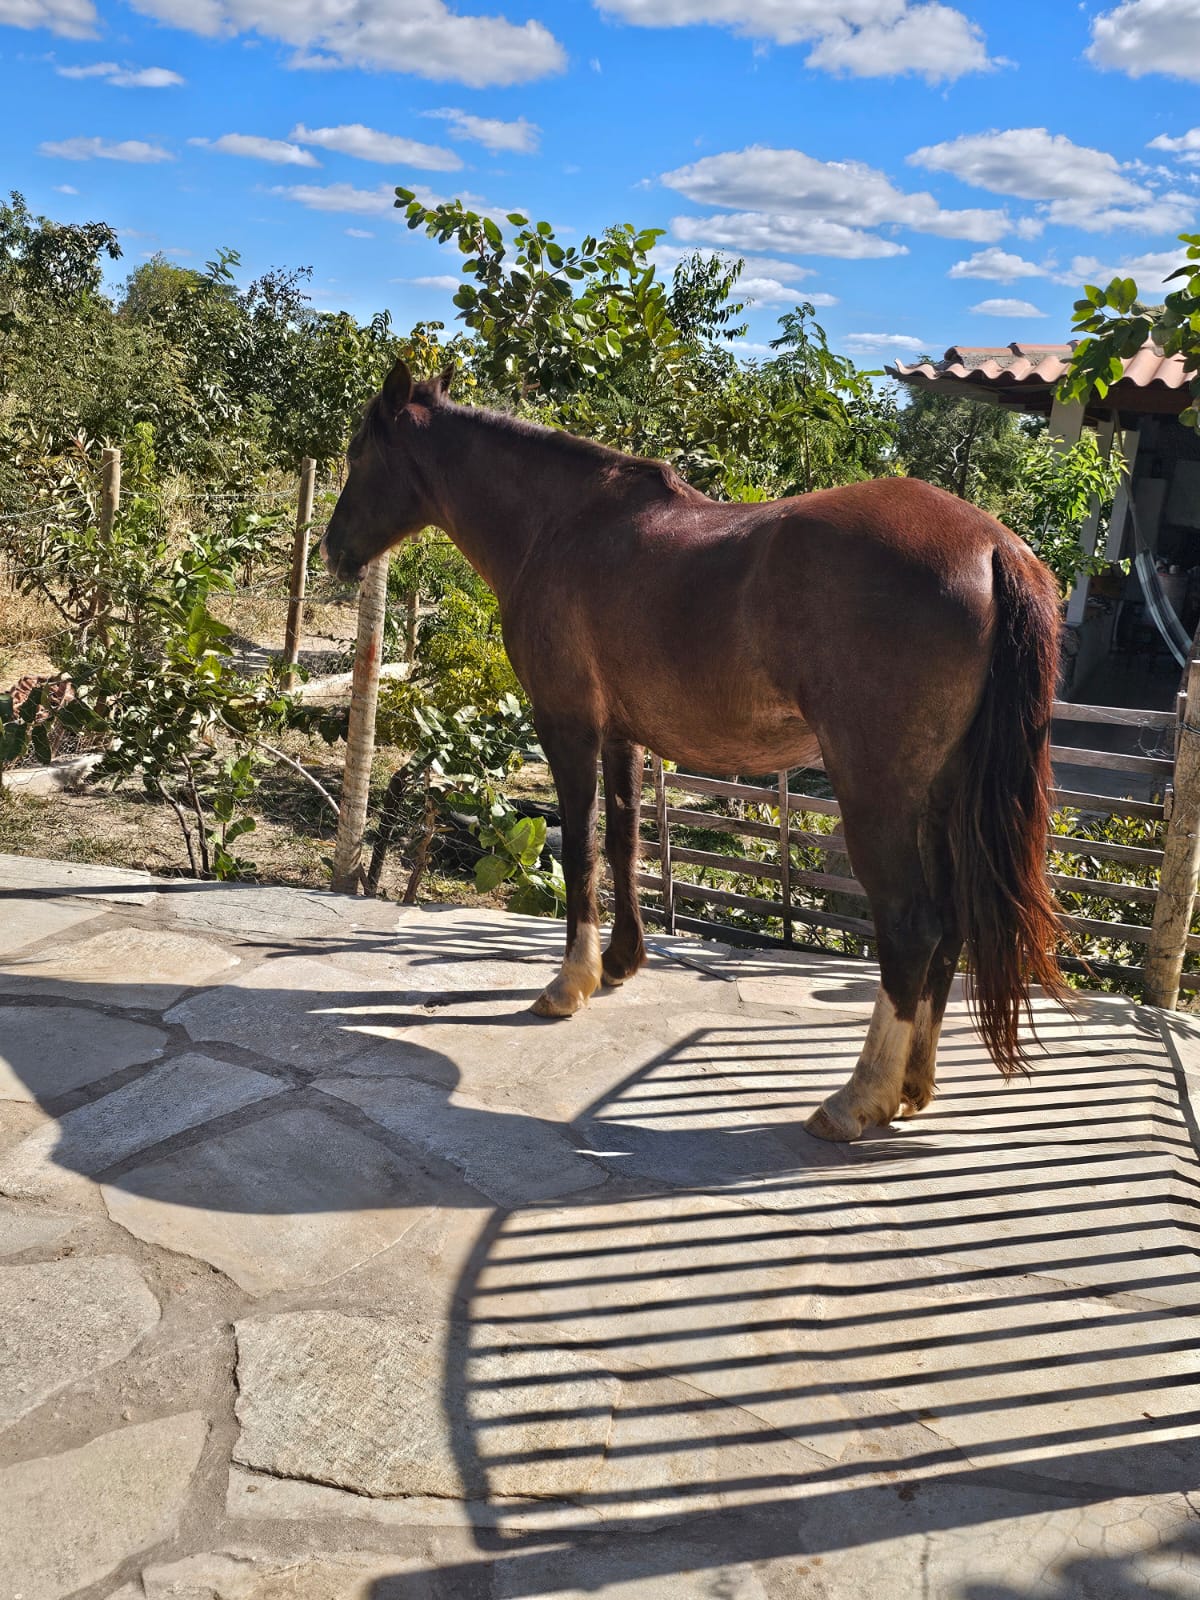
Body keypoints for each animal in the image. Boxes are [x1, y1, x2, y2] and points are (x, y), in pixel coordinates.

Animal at [321, 360, 1065, 1143]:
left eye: (358, 454)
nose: (333, 551)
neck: (560, 524)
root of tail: (994, 547)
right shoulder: (619, 733)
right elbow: (624, 843)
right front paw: (620, 962)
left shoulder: (566, 723)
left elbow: (581, 848)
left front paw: (569, 983)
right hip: (942, 796)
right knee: (951, 924)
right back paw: (914, 1085)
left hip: (877, 795)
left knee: (912, 928)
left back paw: (856, 1099)